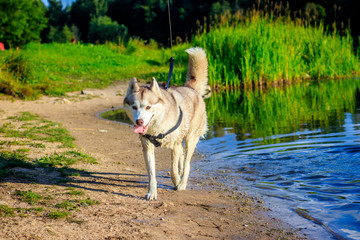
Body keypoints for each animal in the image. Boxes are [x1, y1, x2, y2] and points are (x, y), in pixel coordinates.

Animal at [124, 47, 208, 201]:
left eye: (148, 107)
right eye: (134, 107)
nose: (139, 121)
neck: (158, 125)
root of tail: (191, 89)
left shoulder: (174, 145)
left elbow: (173, 169)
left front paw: (177, 182)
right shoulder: (147, 147)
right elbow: (151, 174)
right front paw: (152, 192)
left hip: (190, 137)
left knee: (186, 162)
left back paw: (182, 182)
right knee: (182, 155)